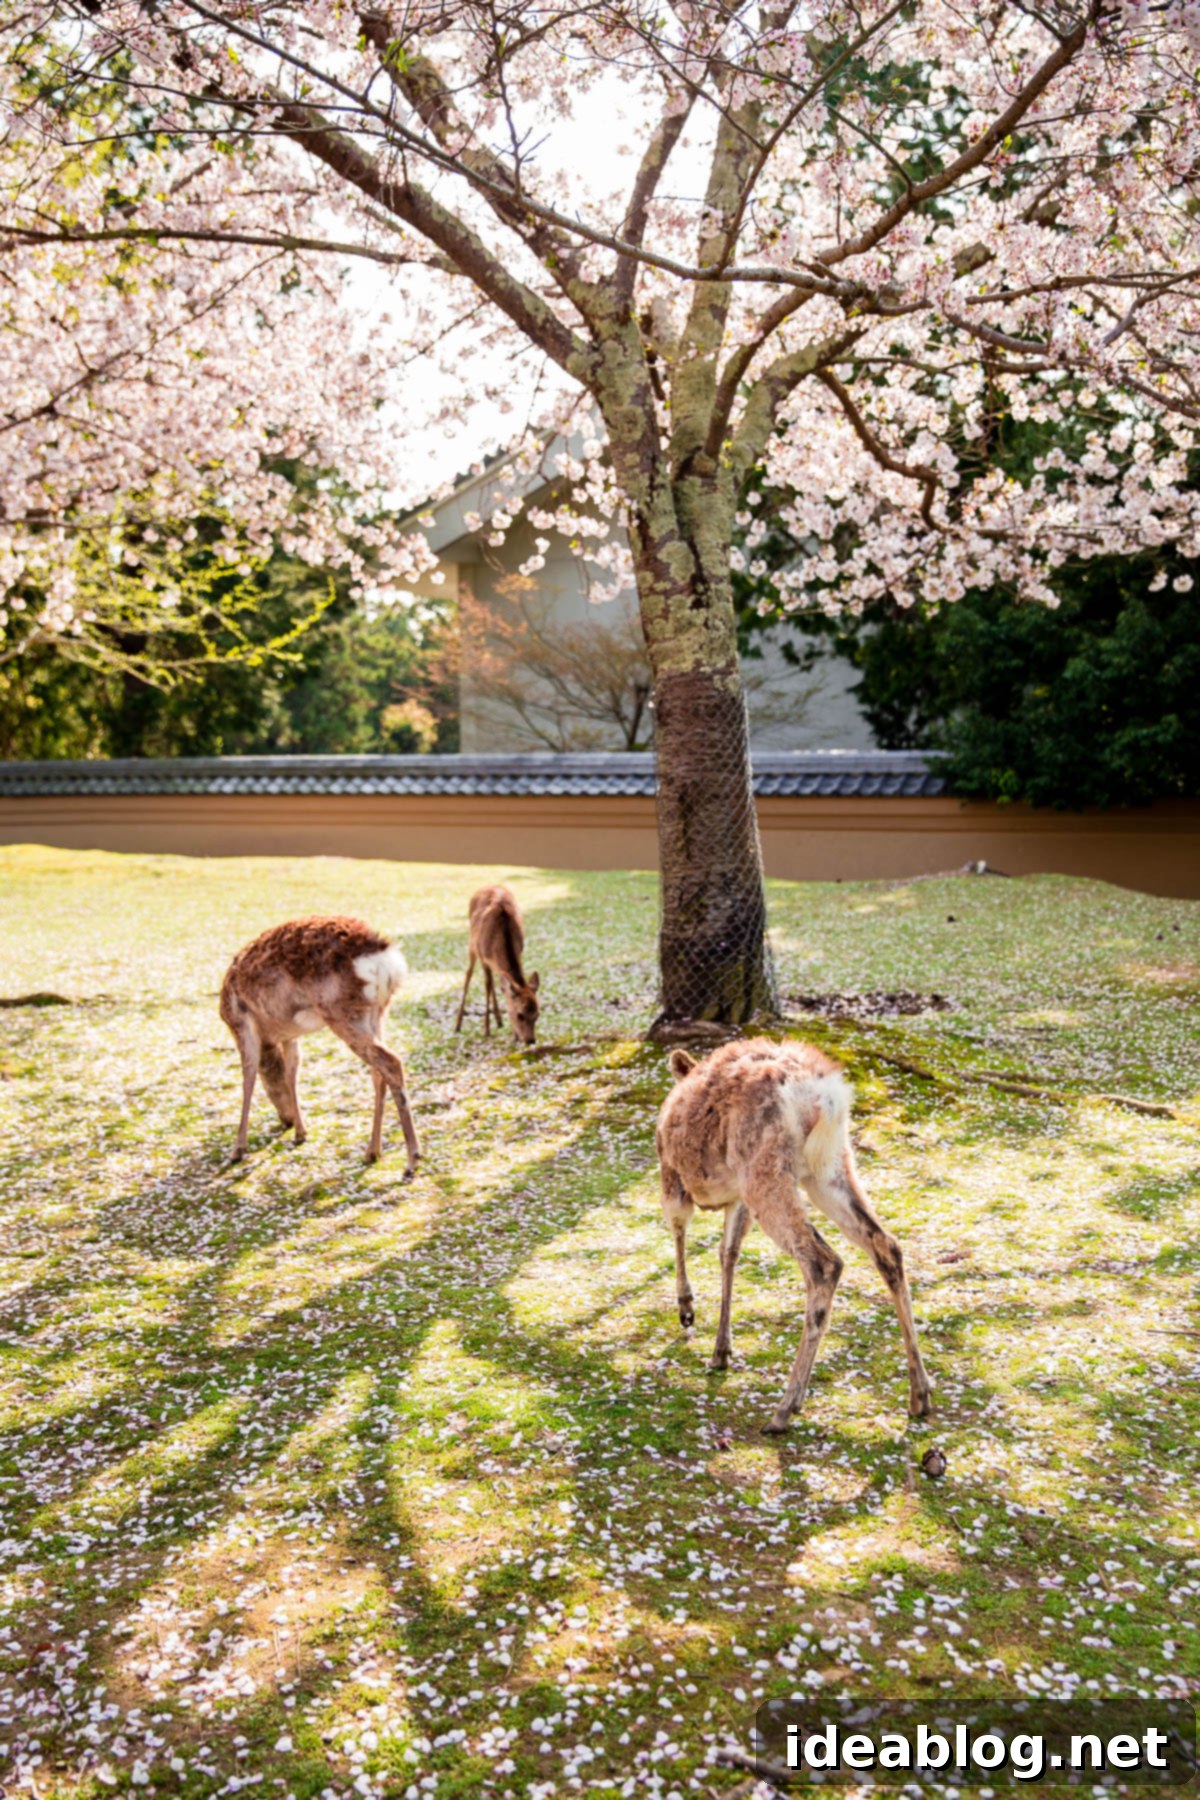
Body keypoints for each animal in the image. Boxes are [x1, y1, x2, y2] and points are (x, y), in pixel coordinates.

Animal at [219, 915, 420, 1176]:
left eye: (269, 1088)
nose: (286, 1119)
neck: (270, 1039)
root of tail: (386, 959)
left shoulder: (241, 1025)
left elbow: (248, 1077)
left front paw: (237, 1149)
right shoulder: (289, 1034)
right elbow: (291, 1073)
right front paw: (300, 1133)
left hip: (341, 1012)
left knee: (391, 1061)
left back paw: (412, 1158)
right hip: (377, 1013)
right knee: (378, 1072)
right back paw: (372, 1151)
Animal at [454, 884, 540, 1044]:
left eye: (537, 1014)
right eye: (520, 1014)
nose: (530, 1040)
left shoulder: (519, 952)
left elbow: (504, 987)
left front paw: (514, 1035)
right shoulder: (483, 956)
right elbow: (487, 986)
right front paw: (486, 1030)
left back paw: (499, 1020)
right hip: (472, 945)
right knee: (469, 975)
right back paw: (458, 1025)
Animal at [656, 1037, 932, 1434]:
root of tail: (825, 1097)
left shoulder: (671, 1175)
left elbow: (680, 1231)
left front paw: (687, 1310)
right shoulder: (737, 1198)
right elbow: (728, 1253)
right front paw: (721, 1349)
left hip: (763, 1169)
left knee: (823, 1262)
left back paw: (785, 1407)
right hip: (829, 1167)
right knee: (886, 1244)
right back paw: (920, 1394)